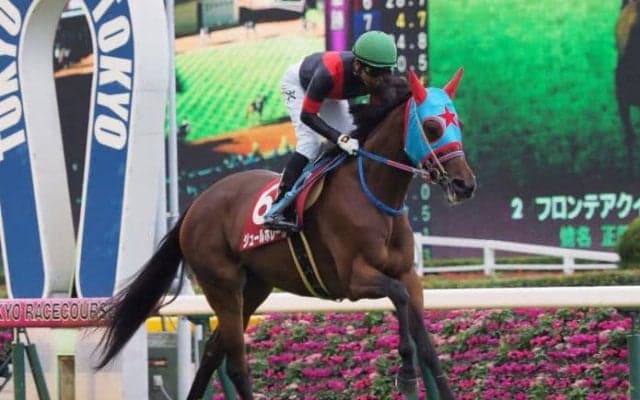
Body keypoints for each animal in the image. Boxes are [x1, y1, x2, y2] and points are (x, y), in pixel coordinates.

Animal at [95, 69, 477, 400]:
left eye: (457, 123)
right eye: (431, 126)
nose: (465, 184)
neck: (374, 194)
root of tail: (197, 204)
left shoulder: (409, 275)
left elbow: (426, 343)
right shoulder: (353, 279)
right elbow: (398, 298)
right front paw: (407, 375)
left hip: (254, 288)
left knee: (213, 353)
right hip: (221, 285)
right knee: (235, 363)